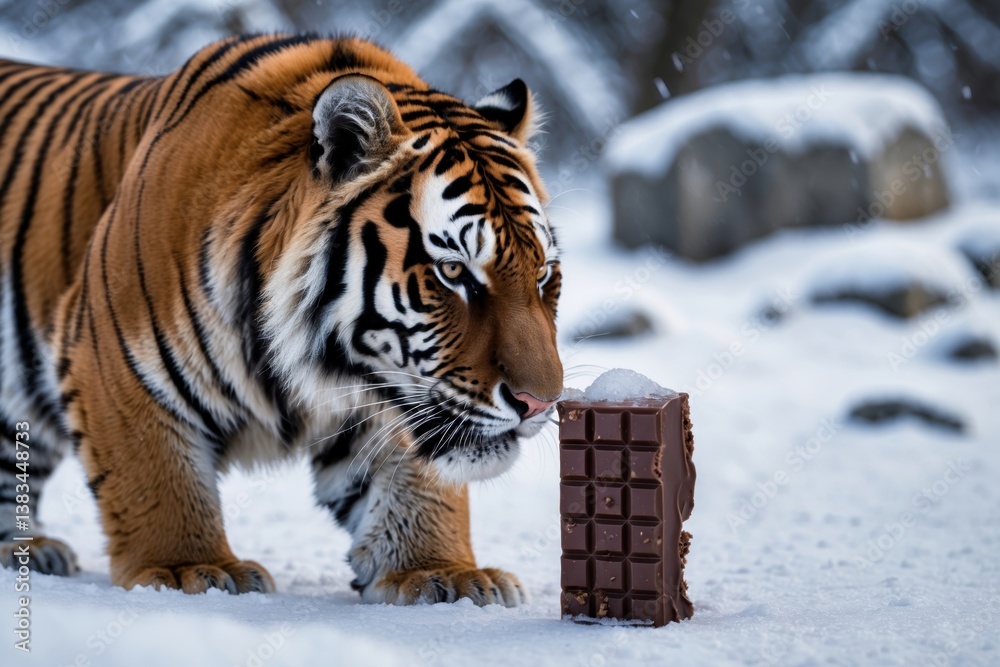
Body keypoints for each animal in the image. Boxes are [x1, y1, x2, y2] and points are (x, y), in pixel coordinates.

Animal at [0, 33, 563, 606]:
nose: (540, 403)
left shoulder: (390, 397)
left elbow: (417, 483)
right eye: (452, 271)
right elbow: (160, 481)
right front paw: (190, 568)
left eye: (542, 274)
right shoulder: (113, 362)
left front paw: (439, 572)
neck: (324, 363)